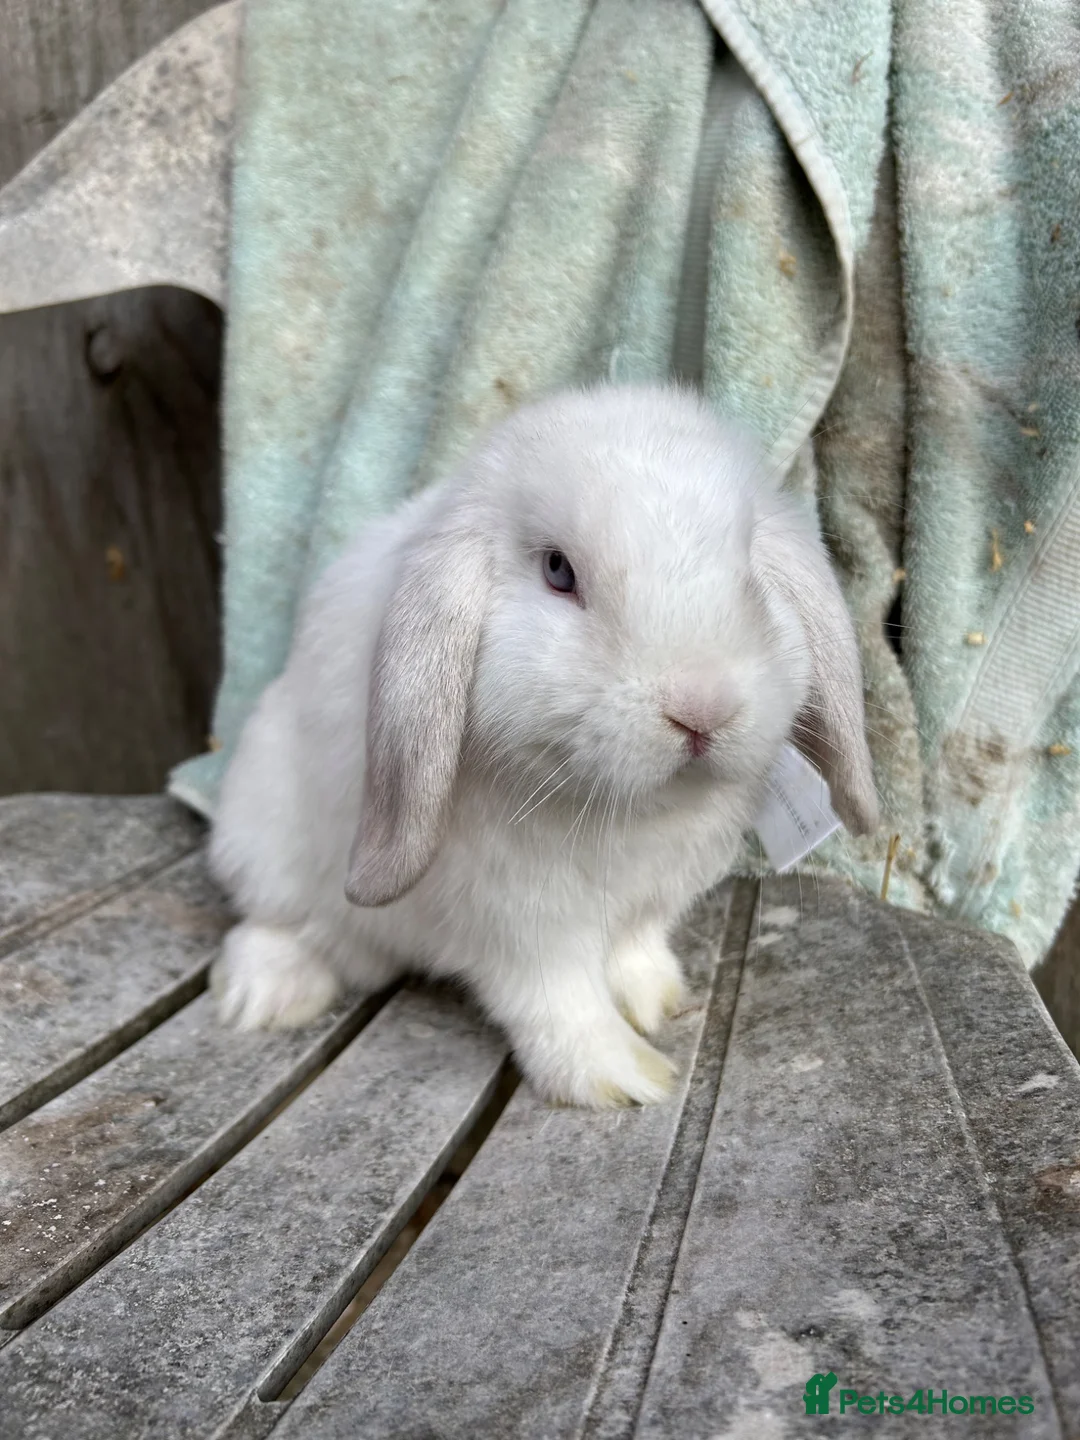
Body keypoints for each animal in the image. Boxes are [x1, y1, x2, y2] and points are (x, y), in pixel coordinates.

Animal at [208, 384, 878, 1108]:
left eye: (751, 567)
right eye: (558, 570)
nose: (704, 707)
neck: (633, 815)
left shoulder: (651, 903)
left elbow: (636, 951)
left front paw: (655, 1001)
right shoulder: (522, 932)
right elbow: (561, 1004)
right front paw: (623, 1078)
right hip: (262, 832)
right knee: (279, 923)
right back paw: (264, 996)